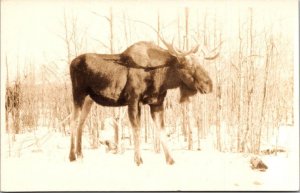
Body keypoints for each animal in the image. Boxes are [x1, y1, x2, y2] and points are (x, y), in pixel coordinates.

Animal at [69, 38, 217, 165]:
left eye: (201, 63)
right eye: (187, 66)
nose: (209, 85)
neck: (160, 78)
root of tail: (71, 63)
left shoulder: (157, 103)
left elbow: (161, 130)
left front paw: (170, 160)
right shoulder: (133, 100)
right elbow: (137, 129)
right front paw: (138, 160)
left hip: (89, 99)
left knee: (81, 123)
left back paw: (80, 154)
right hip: (78, 94)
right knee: (74, 121)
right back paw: (72, 156)